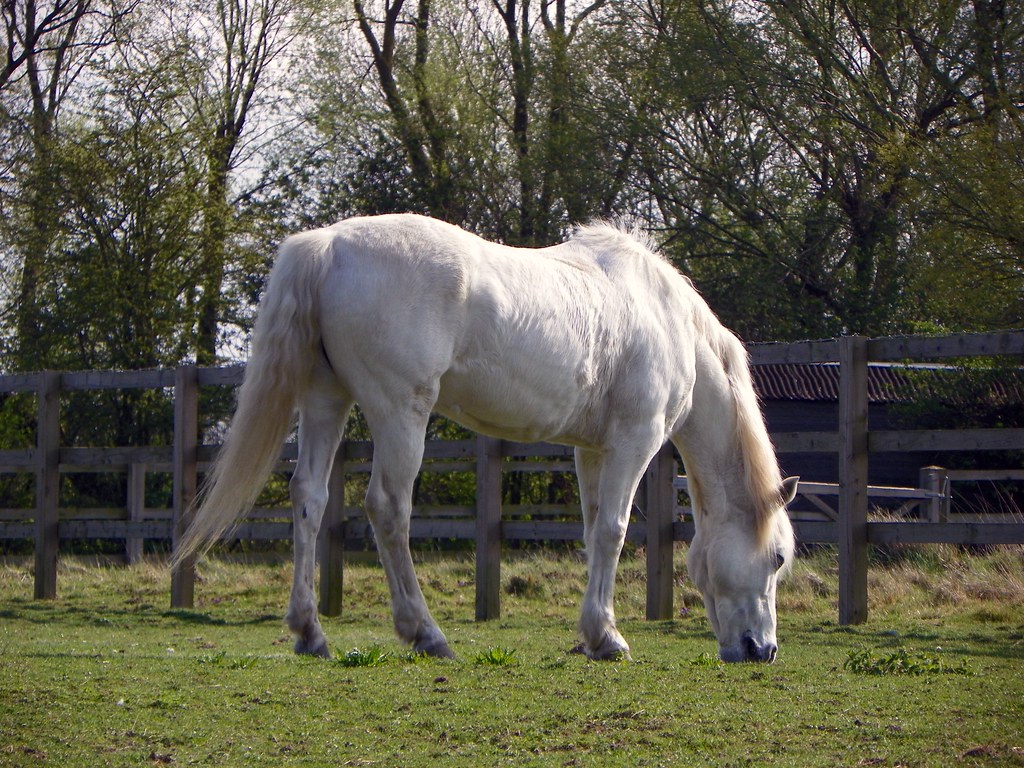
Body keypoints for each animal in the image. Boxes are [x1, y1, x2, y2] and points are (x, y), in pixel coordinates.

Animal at [173, 213, 797, 663]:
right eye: (778, 558)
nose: (762, 650)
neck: (669, 321)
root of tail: (327, 246)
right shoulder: (633, 443)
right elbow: (614, 533)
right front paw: (608, 638)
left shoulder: (591, 450)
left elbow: (593, 528)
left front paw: (592, 636)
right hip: (400, 412)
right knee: (387, 508)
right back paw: (425, 633)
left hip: (327, 400)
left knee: (310, 498)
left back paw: (310, 632)